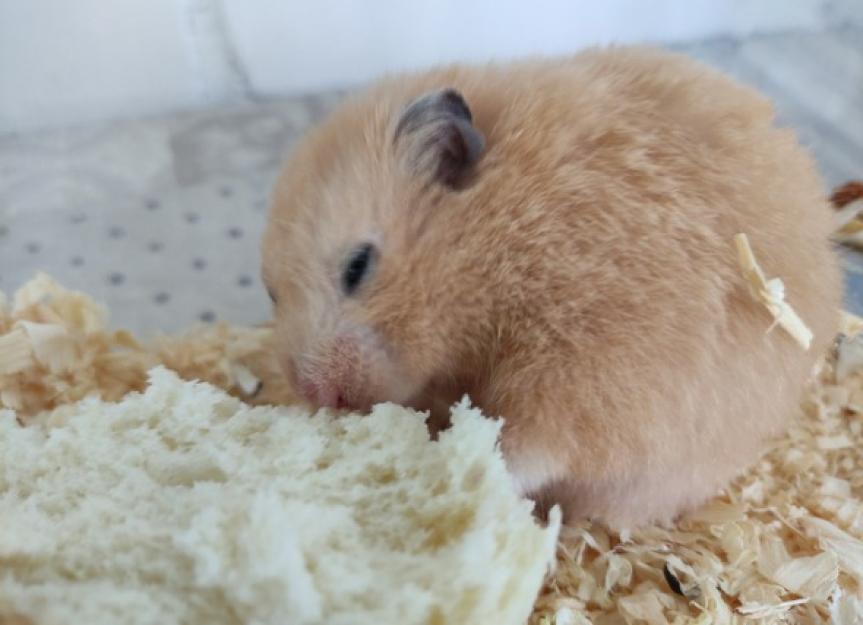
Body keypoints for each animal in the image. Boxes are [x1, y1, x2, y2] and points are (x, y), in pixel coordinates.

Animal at [261, 46, 843, 528]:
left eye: (358, 266)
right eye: (270, 292)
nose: (316, 393)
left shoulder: (597, 368)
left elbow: (535, 444)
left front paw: (464, 470)